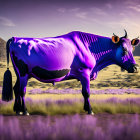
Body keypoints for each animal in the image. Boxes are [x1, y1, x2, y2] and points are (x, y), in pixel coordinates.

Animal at [1, 30, 139, 115]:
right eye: (124, 49)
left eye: (133, 49)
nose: (135, 67)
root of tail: (15, 38)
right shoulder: (84, 73)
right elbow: (86, 93)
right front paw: (90, 110)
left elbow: (84, 93)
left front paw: (86, 108)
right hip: (23, 73)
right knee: (21, 91)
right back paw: (25, 111)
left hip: (20, 74)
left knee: (15, 89)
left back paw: (17, 110)